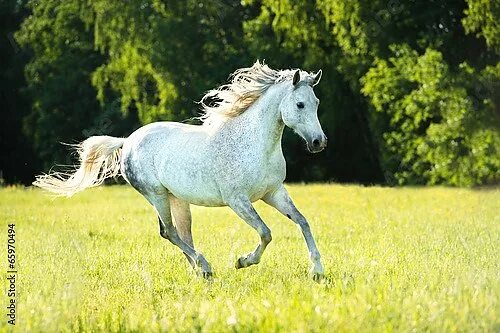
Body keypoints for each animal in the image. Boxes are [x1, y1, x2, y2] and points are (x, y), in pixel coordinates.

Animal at [37, 61, 330, 278]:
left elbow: (302, 221)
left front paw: (317, 270)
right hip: (156, 195)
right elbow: (266, 233)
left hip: (176, 199)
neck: (254, 144)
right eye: (300, 104)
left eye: (316, 103)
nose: (319, 143)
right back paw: (205, 266)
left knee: (182, 233)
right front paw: (242, 261)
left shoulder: (273, 193)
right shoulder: (238, 200)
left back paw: (199, 270)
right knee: (169, 232)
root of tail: (127, 140)